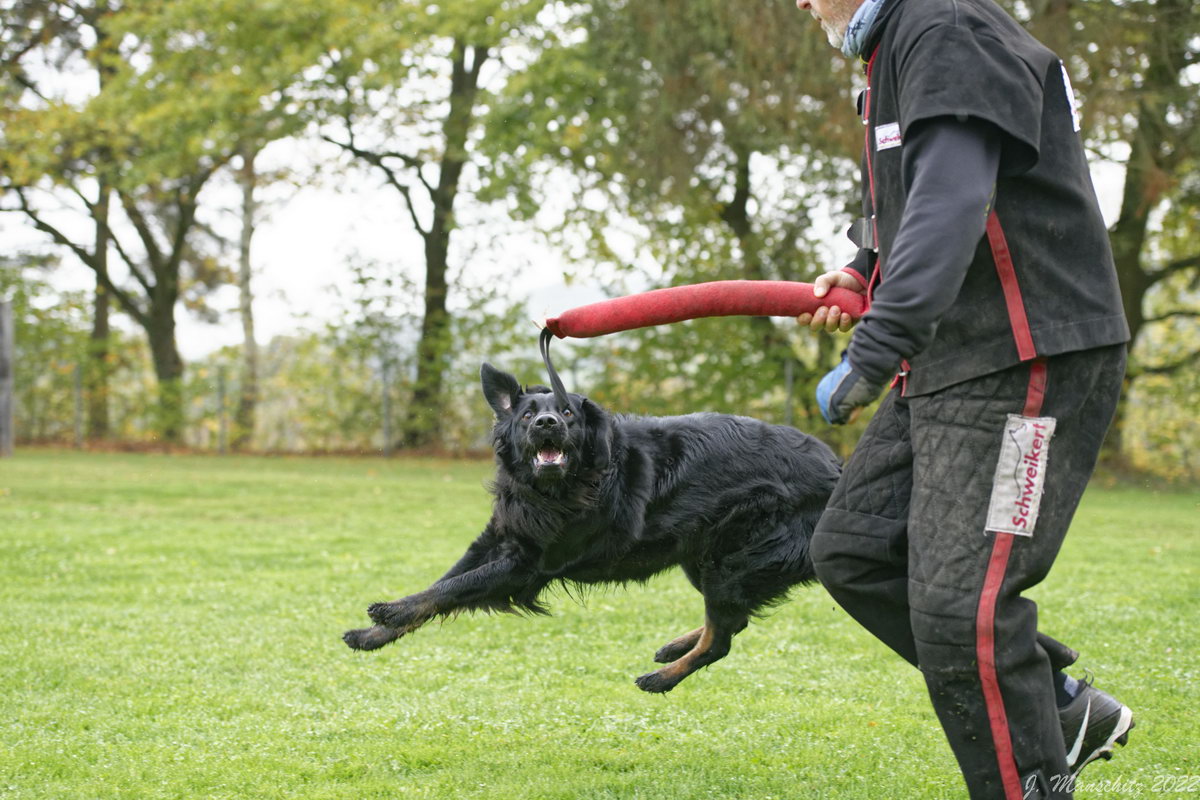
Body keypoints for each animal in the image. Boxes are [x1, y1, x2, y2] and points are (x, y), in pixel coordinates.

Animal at [343, 364, 840, 695]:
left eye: (567, 413)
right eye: (528, 415)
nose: (548, 423)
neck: (558, 486)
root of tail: (835, 469)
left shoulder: (527, 565)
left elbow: (450, 590)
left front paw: (390, 612)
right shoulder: (498, 540)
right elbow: (439, 586)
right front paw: (375, 633)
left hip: (728, 561)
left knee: (723, 636)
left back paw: (662, 678)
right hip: (703, 557)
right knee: (732, 623)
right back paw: (674, 649)